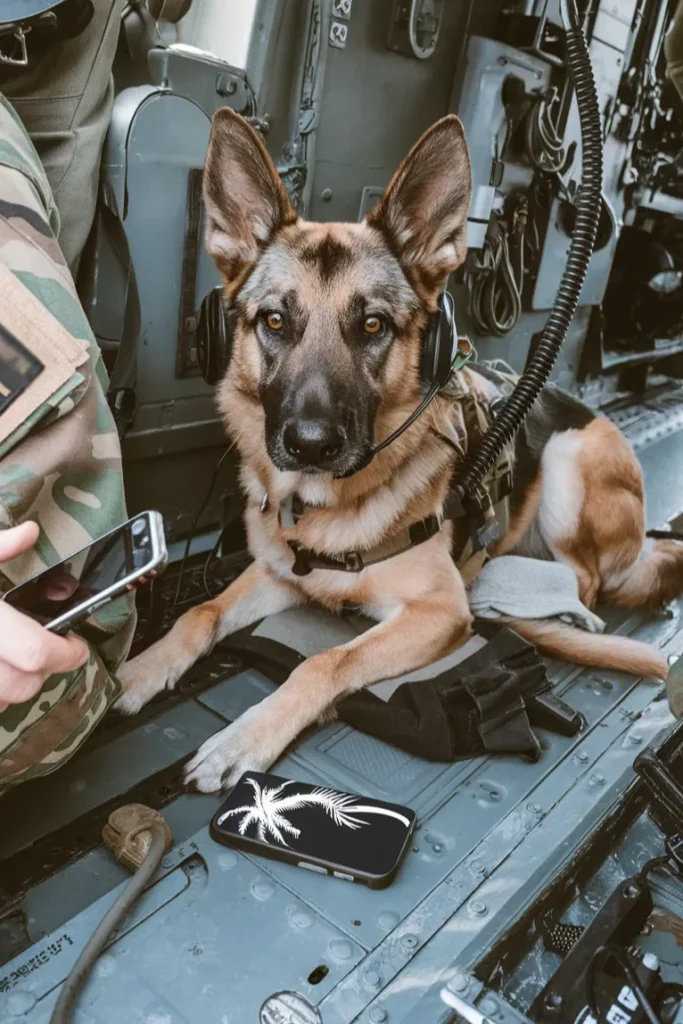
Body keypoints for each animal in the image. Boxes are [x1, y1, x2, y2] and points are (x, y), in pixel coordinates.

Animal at [117, 108, 683, 790]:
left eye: (373, 326)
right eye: (275, 321)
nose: (309, 445)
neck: (326, 511)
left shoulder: (432, 614)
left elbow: (323, 662)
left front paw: (243, 739)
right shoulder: (278, 575)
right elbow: (199, 614)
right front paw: (139, 671)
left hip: (568, 462)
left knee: (588, 585)